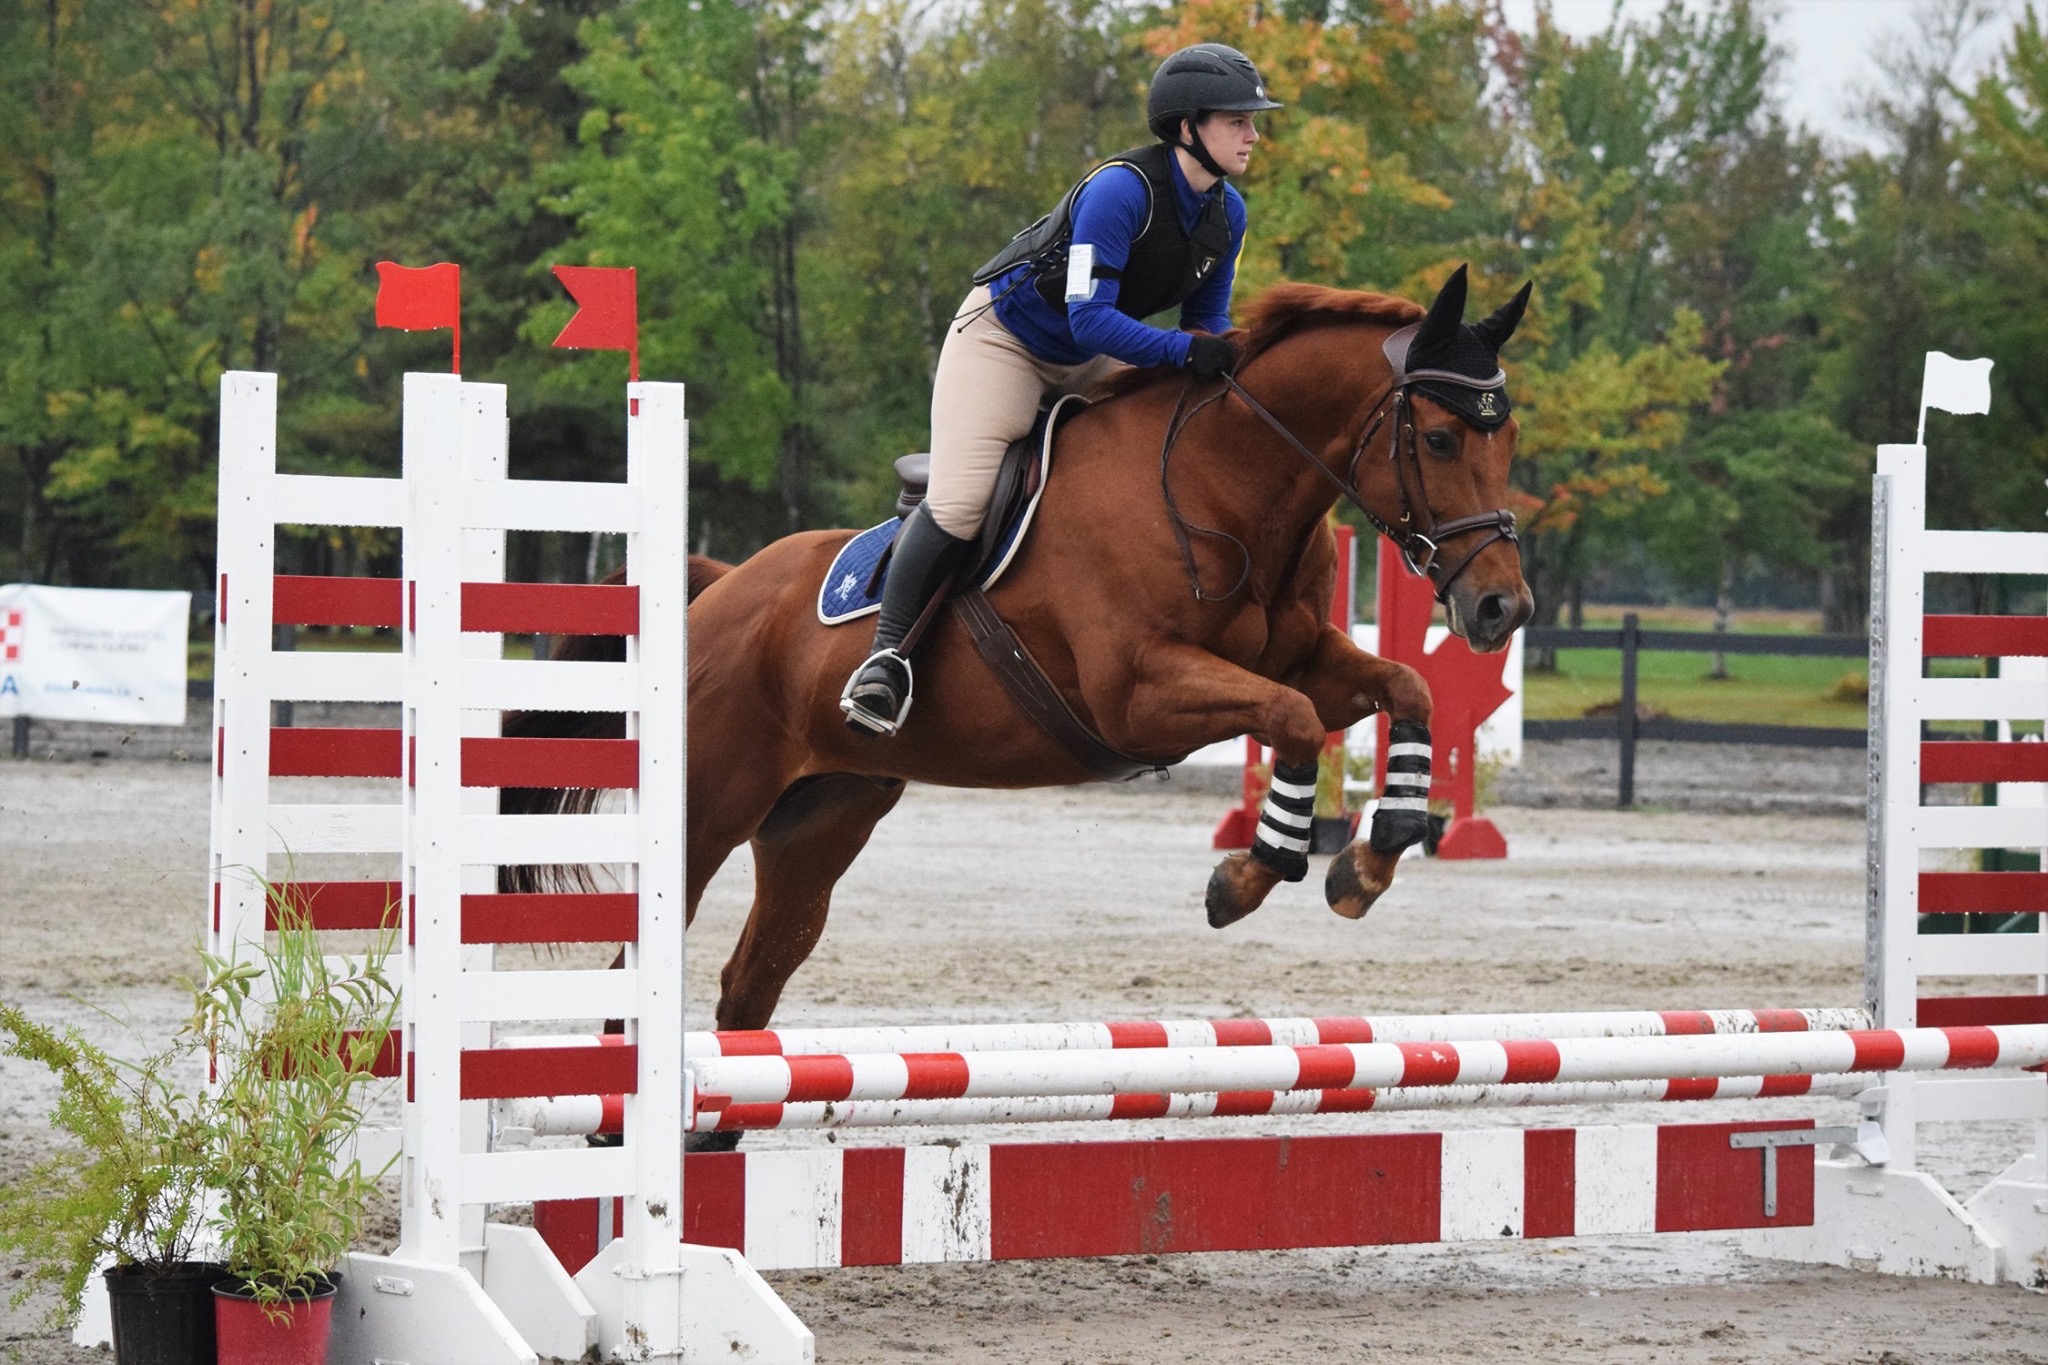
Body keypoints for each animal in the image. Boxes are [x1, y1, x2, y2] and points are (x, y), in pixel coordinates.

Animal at [512, 266, 1540, 1047]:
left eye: (1510, 437)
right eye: (1439, 436)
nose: (1502, 607)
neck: (1225, 480)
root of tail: (719, 589)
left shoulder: (1304, 659)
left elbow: (1405, 686)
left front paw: (1371, 858)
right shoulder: (1137, 692)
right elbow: (1288, 721)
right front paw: (1245, 879)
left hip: (820, 820)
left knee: (748, 983)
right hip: (707, 808)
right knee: (637, 976)